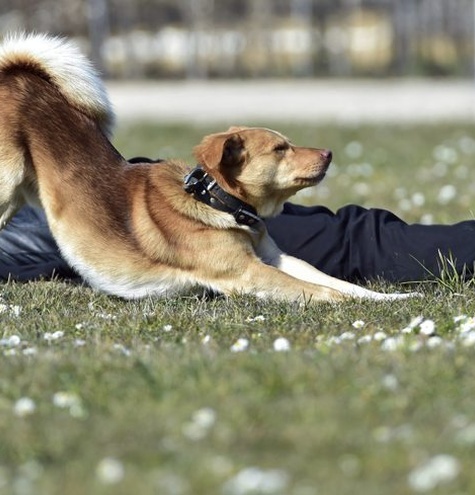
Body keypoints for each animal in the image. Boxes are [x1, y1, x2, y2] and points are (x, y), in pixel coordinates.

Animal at [0, 34, 410, 302]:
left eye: (289, 142)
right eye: (280, 148)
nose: (329, 153)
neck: (218, 201)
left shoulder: (276, 259)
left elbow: (338, 283)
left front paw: (390, 300)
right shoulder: (248, 273)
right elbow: (323, 290)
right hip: (5, 190)